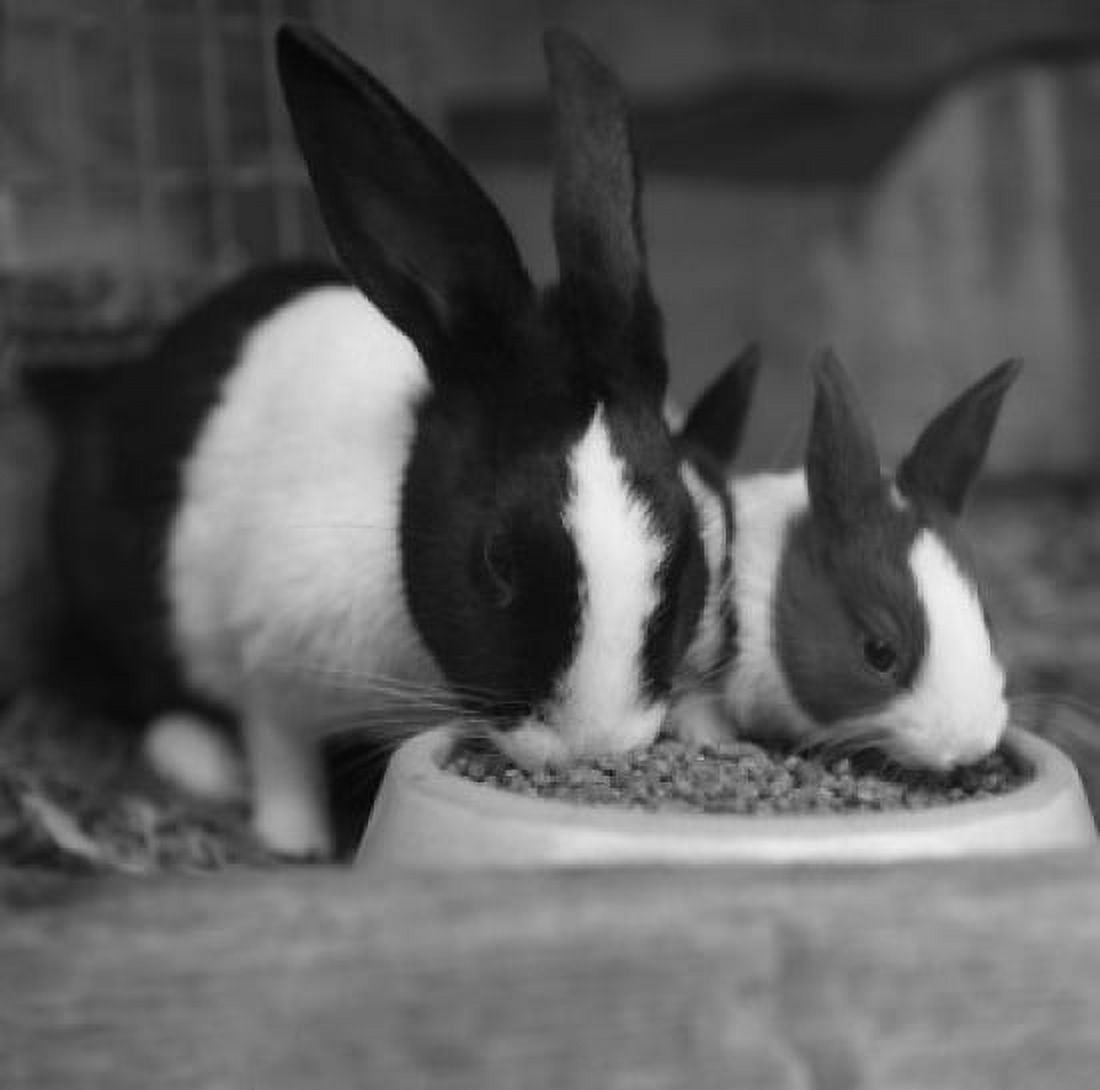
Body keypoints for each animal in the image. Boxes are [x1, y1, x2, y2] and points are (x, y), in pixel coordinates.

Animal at [29, 25, 723, 858]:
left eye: (685, 544)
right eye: (496, 561)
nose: (594, 744)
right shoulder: (273, 667)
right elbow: (281, 756)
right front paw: (295, 843)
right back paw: (204, 762)